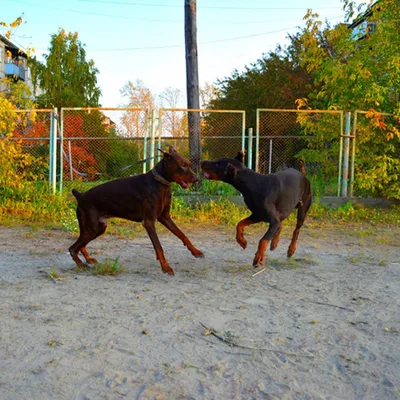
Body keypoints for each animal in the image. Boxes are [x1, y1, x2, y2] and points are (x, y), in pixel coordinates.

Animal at [68, 147, 203, 276]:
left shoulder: (165, 217)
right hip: (93, 228)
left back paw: (88, 259)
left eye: (188, 164)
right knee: (72, 248)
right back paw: (81, 265)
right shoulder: (148, 222)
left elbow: (182, 234)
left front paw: (195, 251)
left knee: (81, 245)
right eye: (182, 165)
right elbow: (159, 247)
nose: (197, 179)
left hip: (99, 228)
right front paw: (166, 267)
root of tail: (80, 196)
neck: (160, 183)